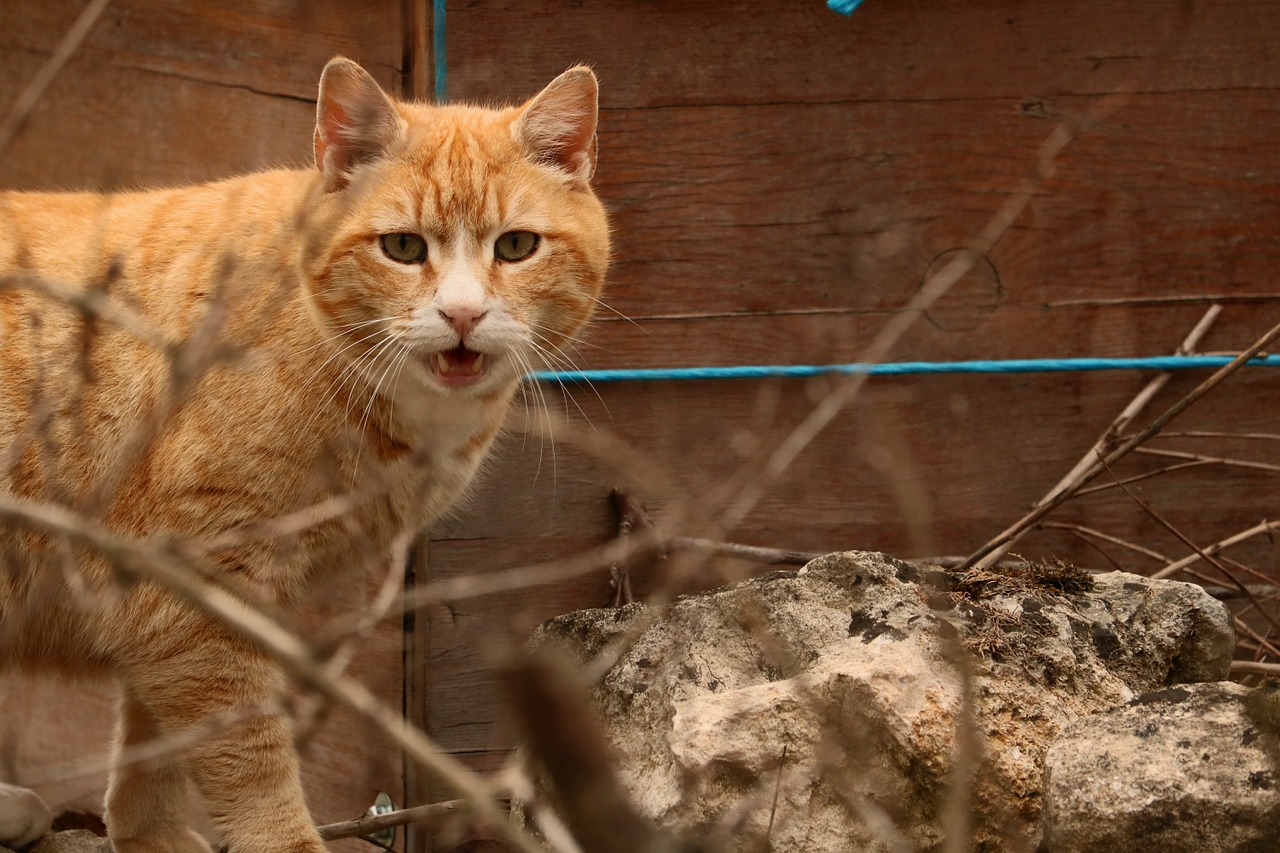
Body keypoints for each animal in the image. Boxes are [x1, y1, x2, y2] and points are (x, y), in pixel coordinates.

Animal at [0, 58, 609, 850]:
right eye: (403, 248)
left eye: (515, 247)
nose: (463, 314)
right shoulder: (201, 590)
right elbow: (248, 752)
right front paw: (281, 837)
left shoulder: (167, 601)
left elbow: (151, 735)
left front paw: (149, 833)